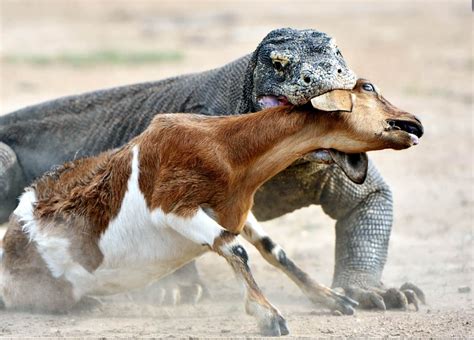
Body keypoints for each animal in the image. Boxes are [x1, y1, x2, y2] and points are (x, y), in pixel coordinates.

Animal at [0, 80, 422, 338]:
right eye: (368, 87)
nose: (414, 123)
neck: (225, 146)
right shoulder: (174, 208)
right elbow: (233, 248)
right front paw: (269, 316)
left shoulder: (238, 212)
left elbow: (274, 251)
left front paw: (332, 299)